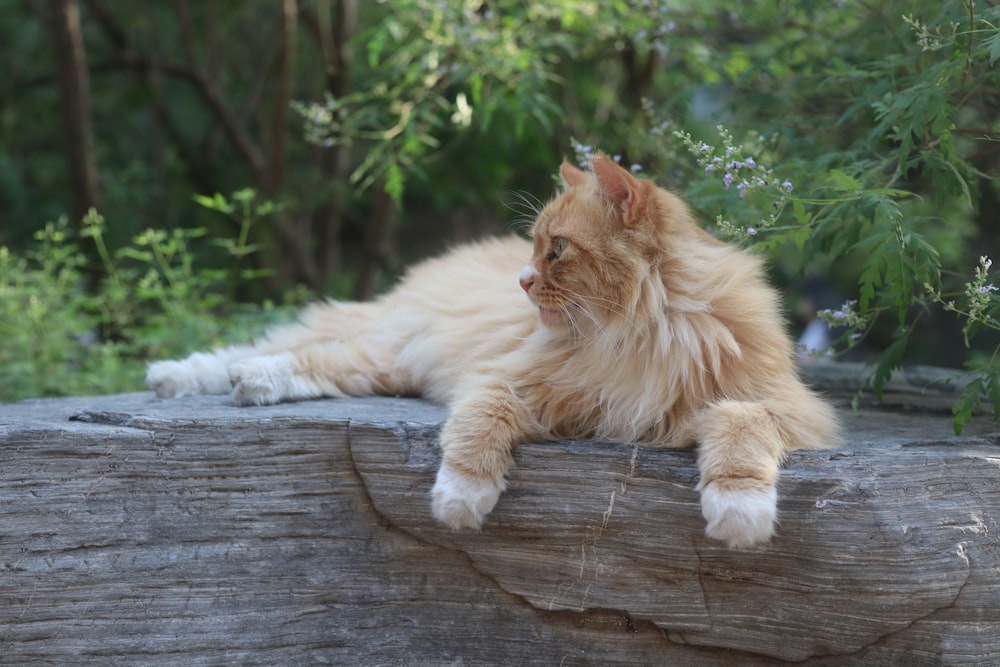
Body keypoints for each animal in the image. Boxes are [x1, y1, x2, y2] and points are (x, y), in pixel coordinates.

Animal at [145, 155, 840, 548]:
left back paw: (246, 383)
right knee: (278, 349)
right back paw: (182, 375)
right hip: (388, 341)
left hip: (385, 365)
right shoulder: (505, 381)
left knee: (310, 367)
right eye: (535, 246)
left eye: (556, 249)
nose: (523, 281)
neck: (639, 332)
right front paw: (460, 501)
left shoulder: (772, 405)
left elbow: (740, 438)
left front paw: (739, 515)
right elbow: (476, 432)